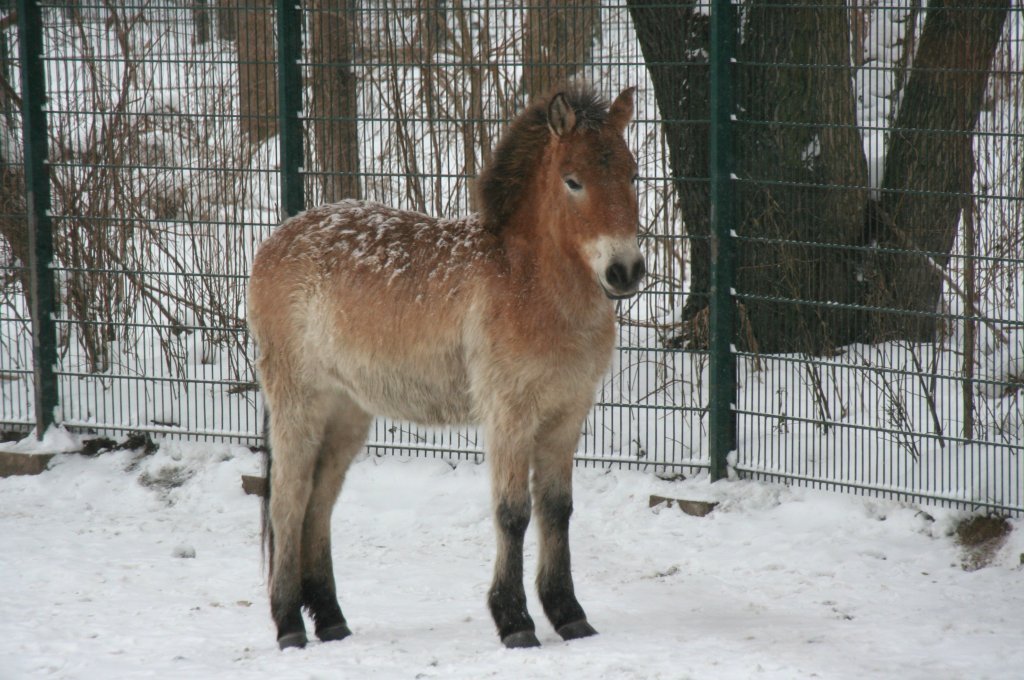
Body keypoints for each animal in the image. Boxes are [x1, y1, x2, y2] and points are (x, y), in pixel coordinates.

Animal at [246, 85, 643, 655]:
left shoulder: (566, 417)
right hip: (299, 402)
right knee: (287, 501)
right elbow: (513, 513)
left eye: (632, 174)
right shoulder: (508, 416)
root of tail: (276, 240)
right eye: (573, 180)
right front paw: (515, 621)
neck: (528, 282)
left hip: (348, 412)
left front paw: (569, 614)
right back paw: (289, 626)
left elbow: (557, 511)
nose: (625, 271)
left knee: (319, 504)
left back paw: (332, 620)